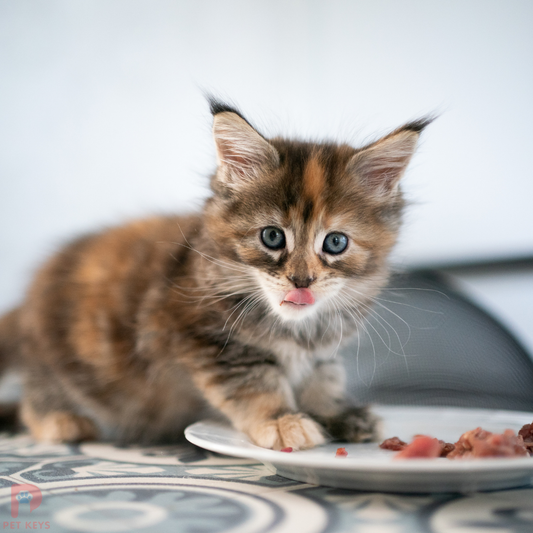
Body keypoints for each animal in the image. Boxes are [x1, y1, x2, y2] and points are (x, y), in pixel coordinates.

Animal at [0, 100, 430, 448]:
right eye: (272, 237)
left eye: (336, 243)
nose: (301, 280)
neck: (296, 331)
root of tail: (28, 301)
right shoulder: (209, 342)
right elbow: (256, 385)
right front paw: (281, 420)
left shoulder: (322, 353)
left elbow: (323, 380)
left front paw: (337, 413)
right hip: (58, 355)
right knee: (38, 394)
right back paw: (60, 420)